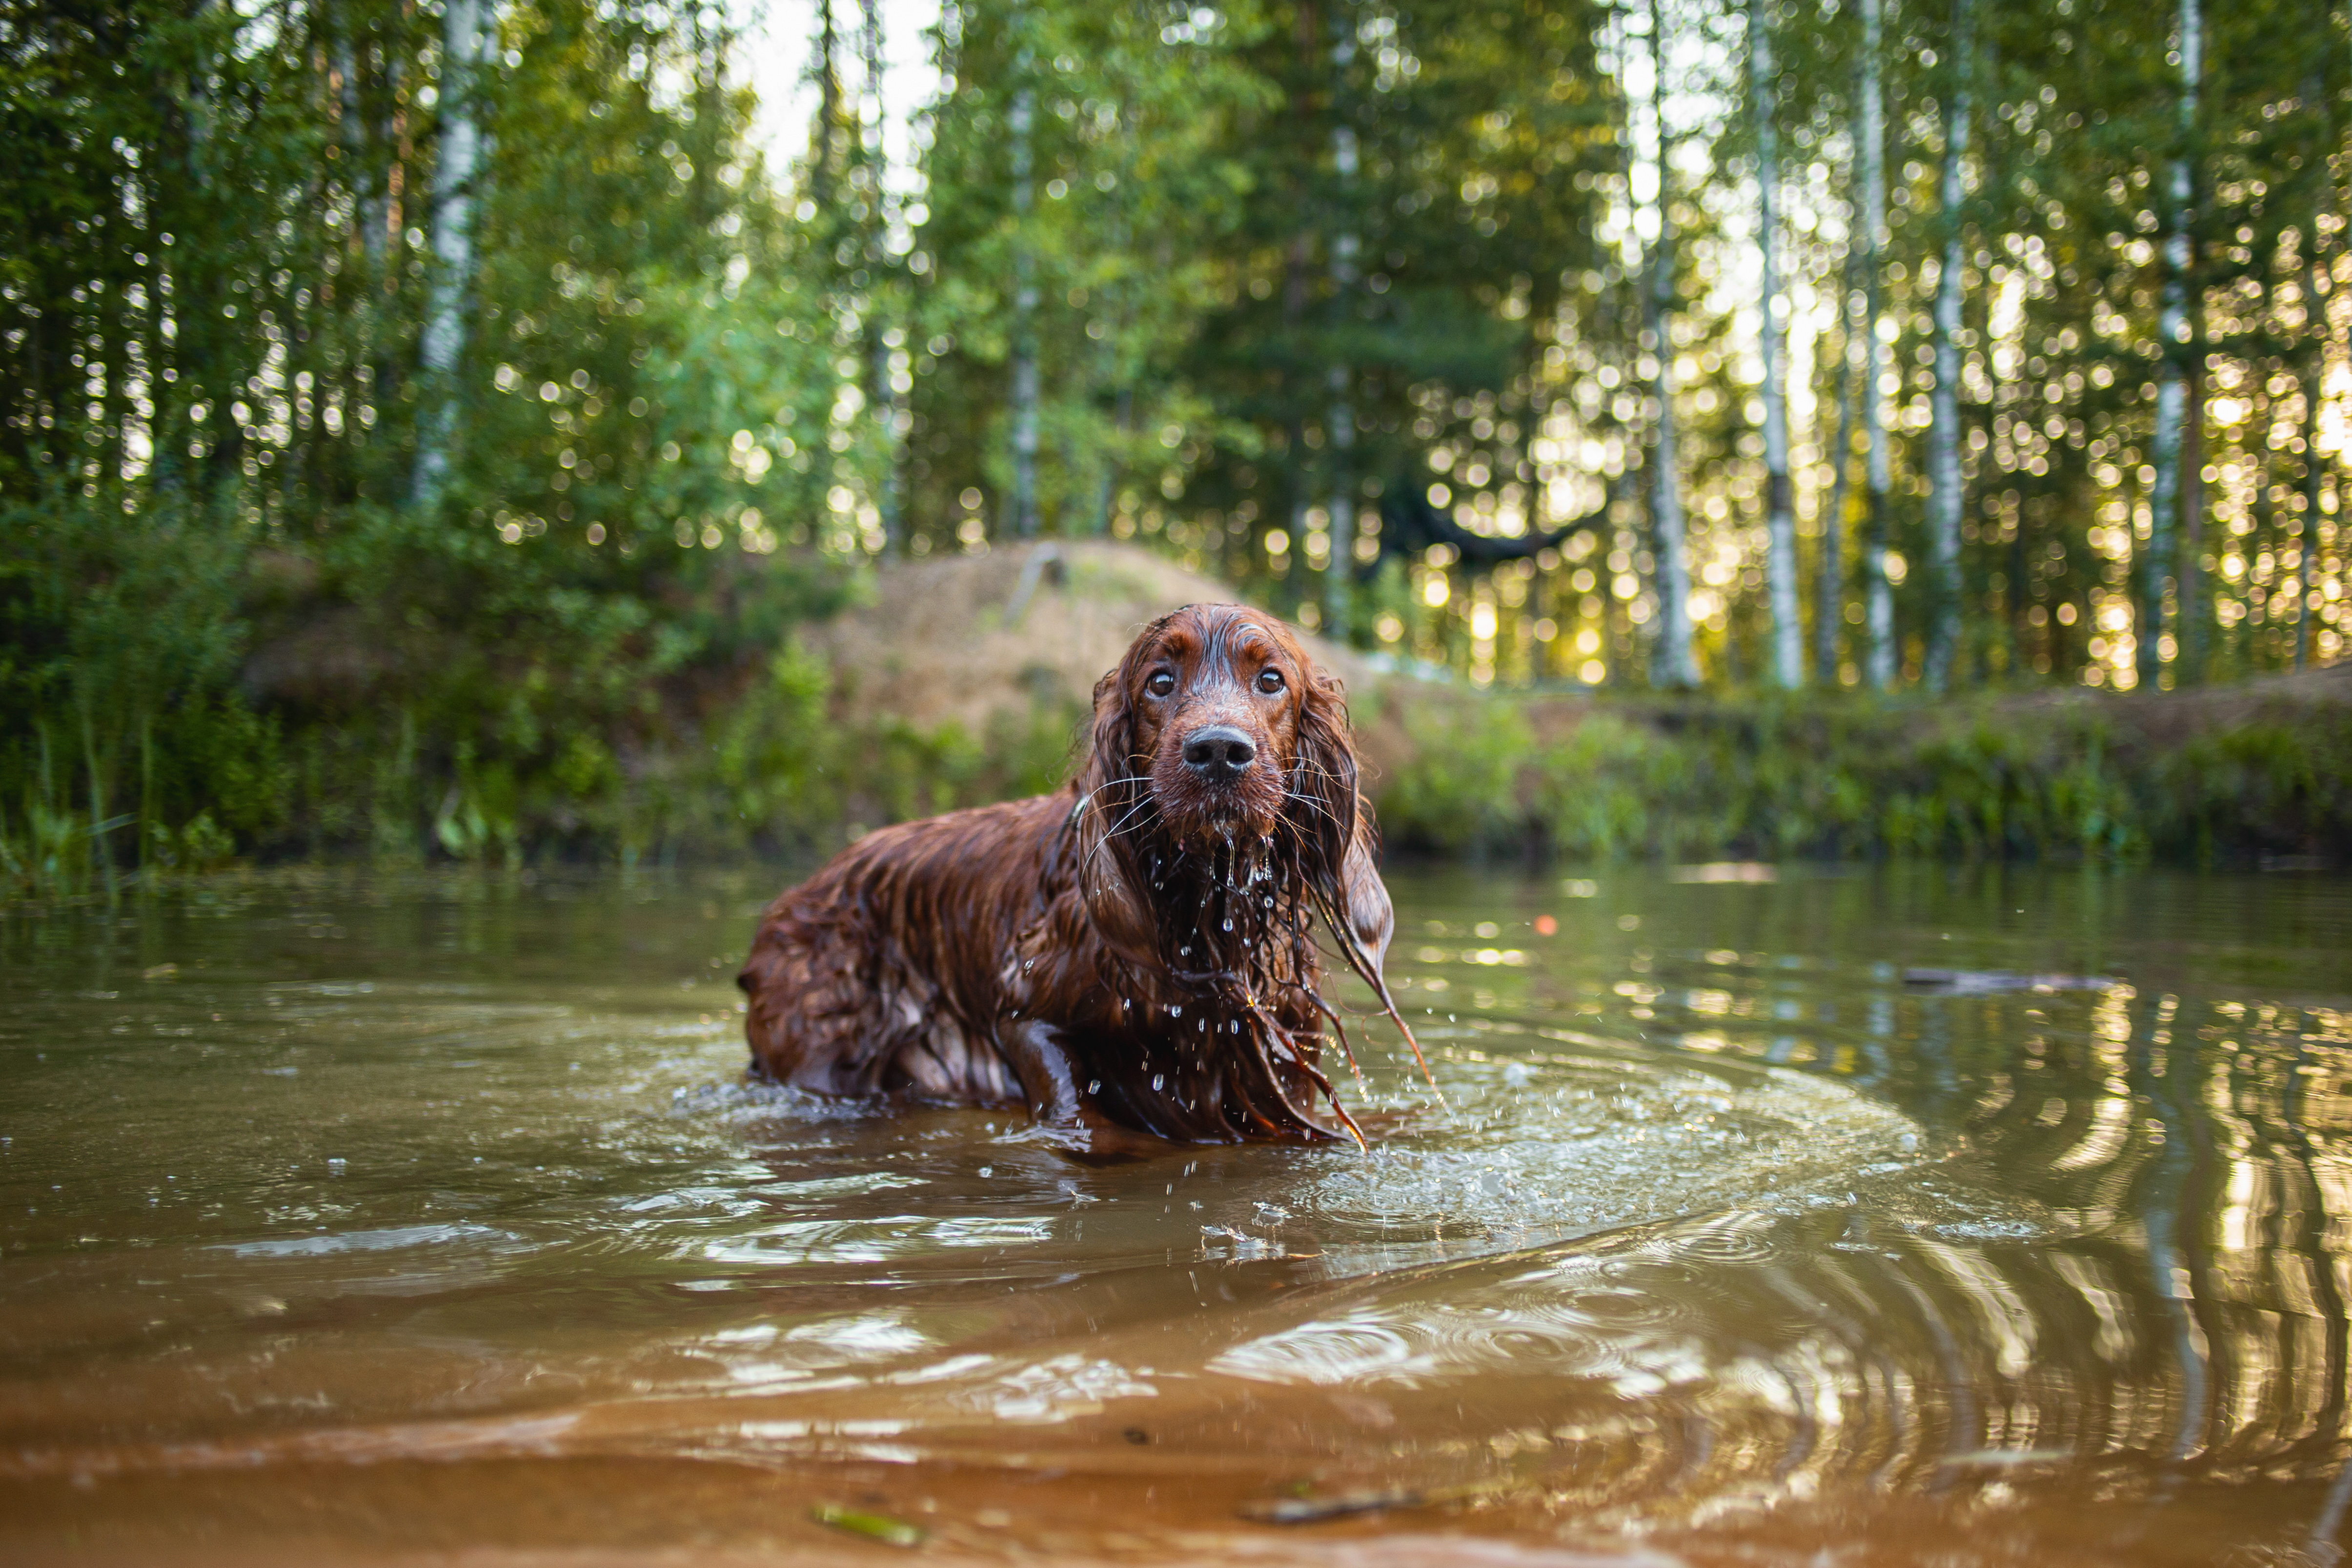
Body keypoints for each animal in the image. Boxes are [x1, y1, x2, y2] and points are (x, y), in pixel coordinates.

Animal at [733, 602, 1411, 1152]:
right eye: (1159, 682)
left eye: (1270, 680)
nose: (1218, 751)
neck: (1202, 912)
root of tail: (796, 895)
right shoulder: (1024, 1011)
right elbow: (1076, 1106)